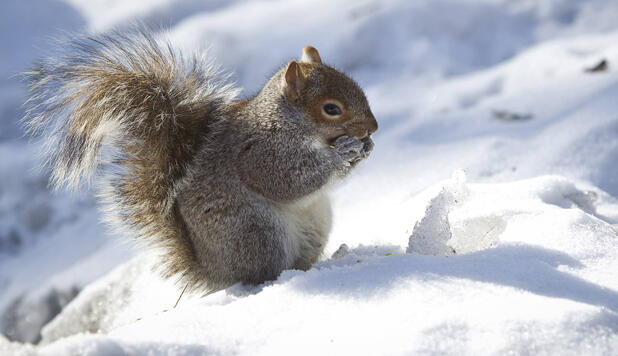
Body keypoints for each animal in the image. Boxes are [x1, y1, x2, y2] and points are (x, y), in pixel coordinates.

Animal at [25, 29, 376, 294]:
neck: (287, 122)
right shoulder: (260, 153)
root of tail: (214, 270)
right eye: (331, 109)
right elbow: (287, 180)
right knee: (262, 273)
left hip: (313, 227)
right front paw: (342, 153)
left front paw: (365, 148)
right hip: (256, 233)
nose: (373, 128)